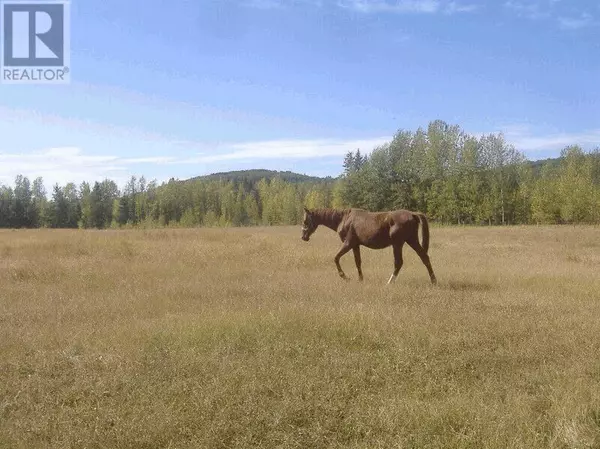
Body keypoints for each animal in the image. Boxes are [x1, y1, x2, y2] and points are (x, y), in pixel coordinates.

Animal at [300, 207, 436, 284]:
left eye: (305, 221)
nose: (303, 237)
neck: (344, 219)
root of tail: (412, 214)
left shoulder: (348, 244)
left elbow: (336, 258)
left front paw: (344, 276)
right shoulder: (355, 245)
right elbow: (358, 262)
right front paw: (360, 279)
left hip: (397, 244)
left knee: (399, 262)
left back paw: (389, 282)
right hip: (412, 240)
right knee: (424, 257)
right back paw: (433, 281)